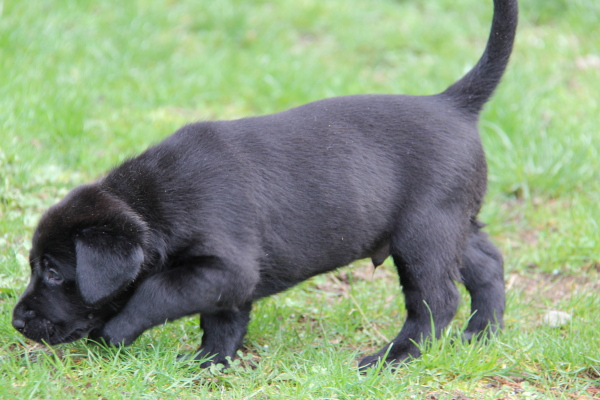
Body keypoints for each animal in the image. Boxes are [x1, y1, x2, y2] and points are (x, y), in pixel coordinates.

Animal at [11, 0, 516, 368]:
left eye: (53, 271)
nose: (16, 322)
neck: (154, 202)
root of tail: (452, 103)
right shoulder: (225, 281)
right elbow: (223, 321)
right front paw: (207, 364)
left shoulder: (224, 267)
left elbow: (154, 291)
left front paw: (115, 332)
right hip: (453, 223)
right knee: (487, 265)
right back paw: (481, 335)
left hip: (423, 234)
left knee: (435, 301)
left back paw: (394, 358)